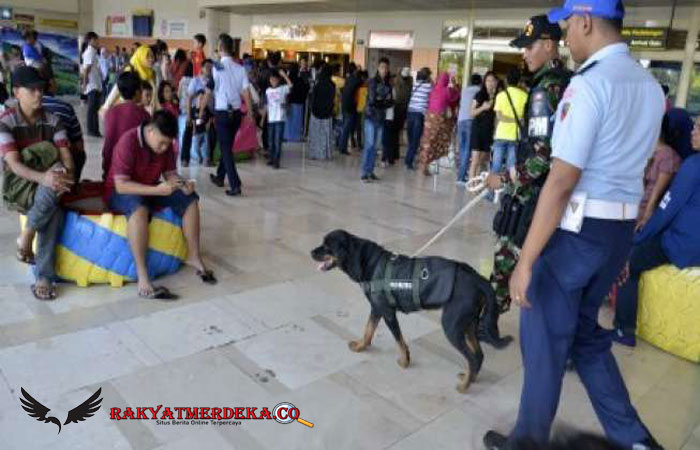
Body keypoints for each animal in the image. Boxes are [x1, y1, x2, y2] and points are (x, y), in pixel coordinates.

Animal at [312, 230, 516, 392]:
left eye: (327, 246)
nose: (311, 252)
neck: (368, 262)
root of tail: (477, 279)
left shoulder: (388, 313)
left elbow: (398, 340)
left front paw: (404, 361)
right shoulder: (377, 309)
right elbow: (368, 329)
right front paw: (362, 346)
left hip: (452, 326)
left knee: (472, 358)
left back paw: (465, 386)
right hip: (468, 323)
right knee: (479, 355)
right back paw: (470, 378)